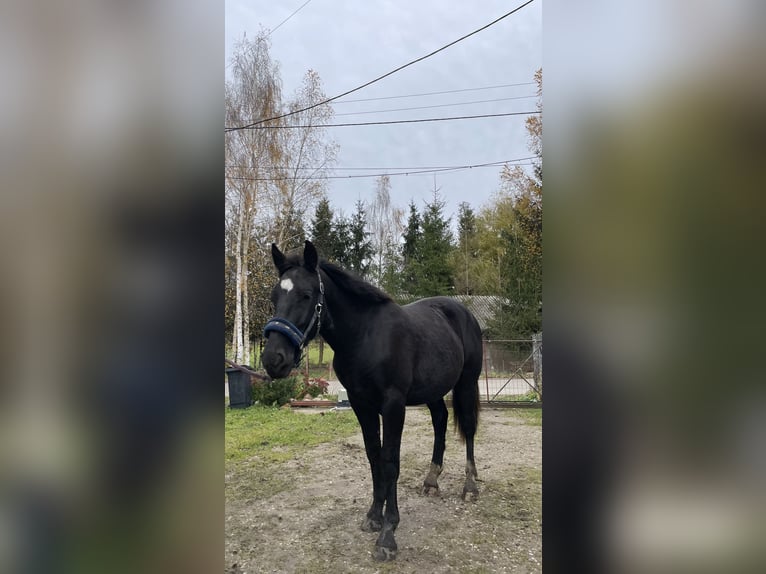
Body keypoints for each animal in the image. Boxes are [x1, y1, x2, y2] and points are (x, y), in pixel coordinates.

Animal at [261, 240, 483, 562]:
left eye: (306, 295)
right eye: (274, 296)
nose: (273, 360)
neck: (365, 336)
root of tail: (463, 312)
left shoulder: (392, 405)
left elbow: (390, 461)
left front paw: (388, 533)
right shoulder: (361, 404)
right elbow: (373, 456)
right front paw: (374, 516)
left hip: (467, 383)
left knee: (467, 427)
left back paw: (470, 486)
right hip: (433, 391)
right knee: (440, 422)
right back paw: (431, 481)